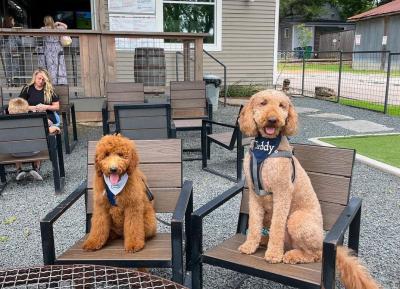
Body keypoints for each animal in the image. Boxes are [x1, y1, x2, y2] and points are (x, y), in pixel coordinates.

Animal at [239, 89, 380, 288]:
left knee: (315, 254)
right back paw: (263, 241)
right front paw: (250, 245)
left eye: (282, 106)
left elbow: (277, 227)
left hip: (297, 220)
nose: (273, 120)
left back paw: (290, 255)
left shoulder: (282, 193)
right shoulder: (254, 194)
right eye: (263, 103)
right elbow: (253, 224)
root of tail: (322, 241)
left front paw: (273, 254)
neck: (266, 150)